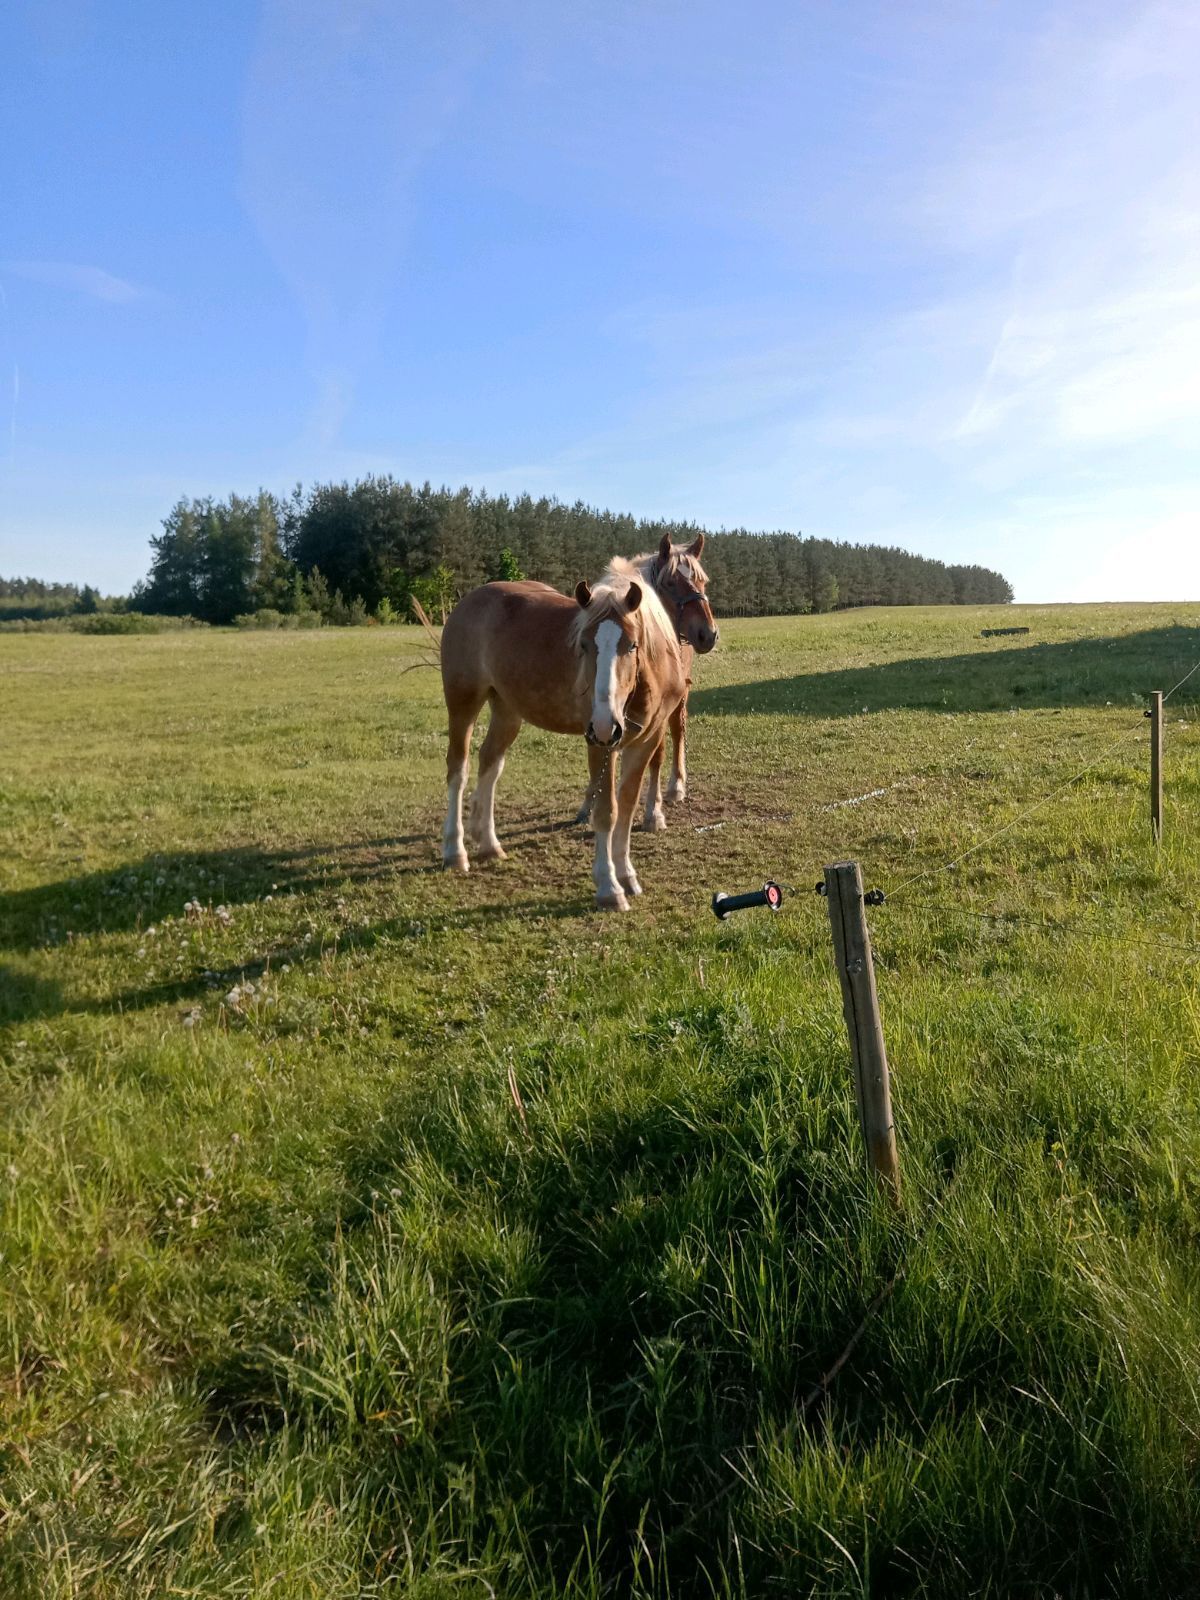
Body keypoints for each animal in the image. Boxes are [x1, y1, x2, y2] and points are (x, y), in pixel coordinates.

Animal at [438, 576, 684, 908]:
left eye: (632, 645)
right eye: (583, 645)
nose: (605, 723)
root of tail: (469, 600)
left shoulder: (644, 742)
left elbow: (627, 807)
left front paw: (627, 875)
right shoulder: (600, 746)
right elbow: (606, 812)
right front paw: (609, 887)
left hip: (507, 710)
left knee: (490, 763)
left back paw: (489, 845)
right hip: (463, 702)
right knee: (458, 770)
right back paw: (455, 851)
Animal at [579, 537, 720, 838]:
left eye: (702, 581)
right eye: (670, 583)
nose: (708, 634)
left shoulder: (660, 710)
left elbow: (656, 755)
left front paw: (653, 812)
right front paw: (590, 802)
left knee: (678, 731)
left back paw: (676, 787)